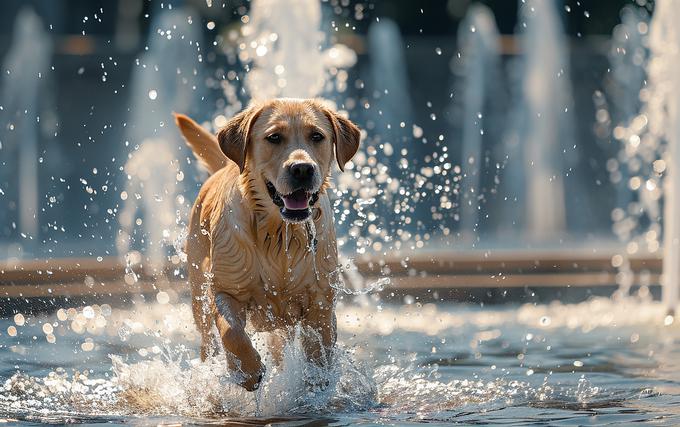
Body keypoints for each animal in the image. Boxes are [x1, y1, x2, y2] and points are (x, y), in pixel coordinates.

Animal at [174, 99, 362, 392]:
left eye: (317, 136)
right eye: (274, 137)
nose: (302, 169)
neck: (279, 233)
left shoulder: (321, 302)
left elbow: (319, 351)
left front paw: (316, 385)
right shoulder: (226, 289)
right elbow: (232, 332)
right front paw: (248, 372)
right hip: (198, 298)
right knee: (208, 341)